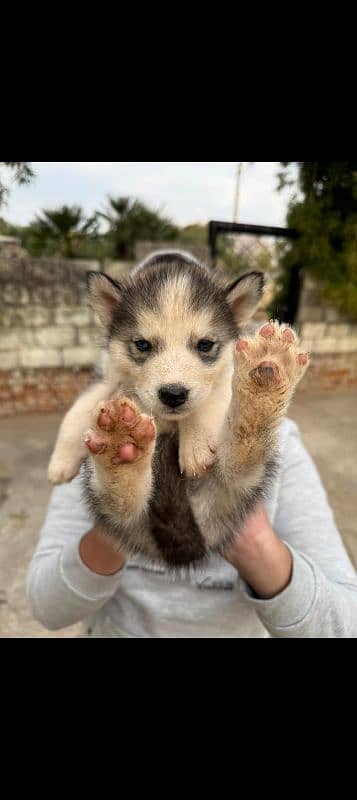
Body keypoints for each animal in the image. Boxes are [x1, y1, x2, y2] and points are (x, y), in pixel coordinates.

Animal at [48, 253, 308, 564]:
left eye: (205, 344)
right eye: (142, 344)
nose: (173, 394)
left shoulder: (224, 375)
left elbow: (209, 400)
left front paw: (195, 446)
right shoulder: (107, 378)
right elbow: (77, 411)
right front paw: (61, 461)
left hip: (235, 487)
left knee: (239, 461)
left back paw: (267, 372)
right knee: (123, 504)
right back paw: (121, 447)